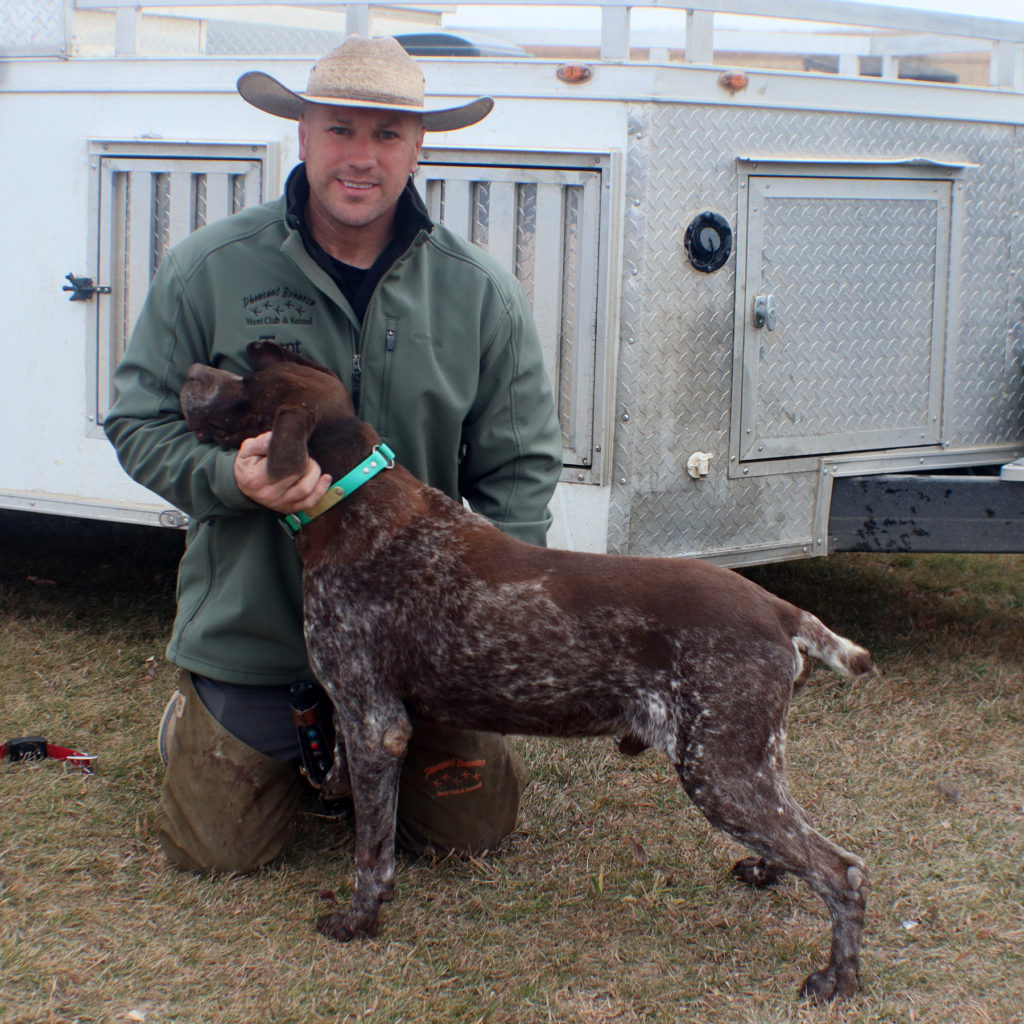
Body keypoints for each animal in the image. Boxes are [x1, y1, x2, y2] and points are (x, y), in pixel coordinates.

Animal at [180, 342, 868, 999]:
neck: (354, 504)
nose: (190, 374)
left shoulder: (373, 722)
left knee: (843, 871)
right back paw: (768, 872)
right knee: (799, 833)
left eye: (246, 391)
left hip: (717, 769)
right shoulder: (358, 719)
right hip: (750, 758)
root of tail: (780, 610)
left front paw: (359, 919)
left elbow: (370, 850)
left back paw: (838, 979)